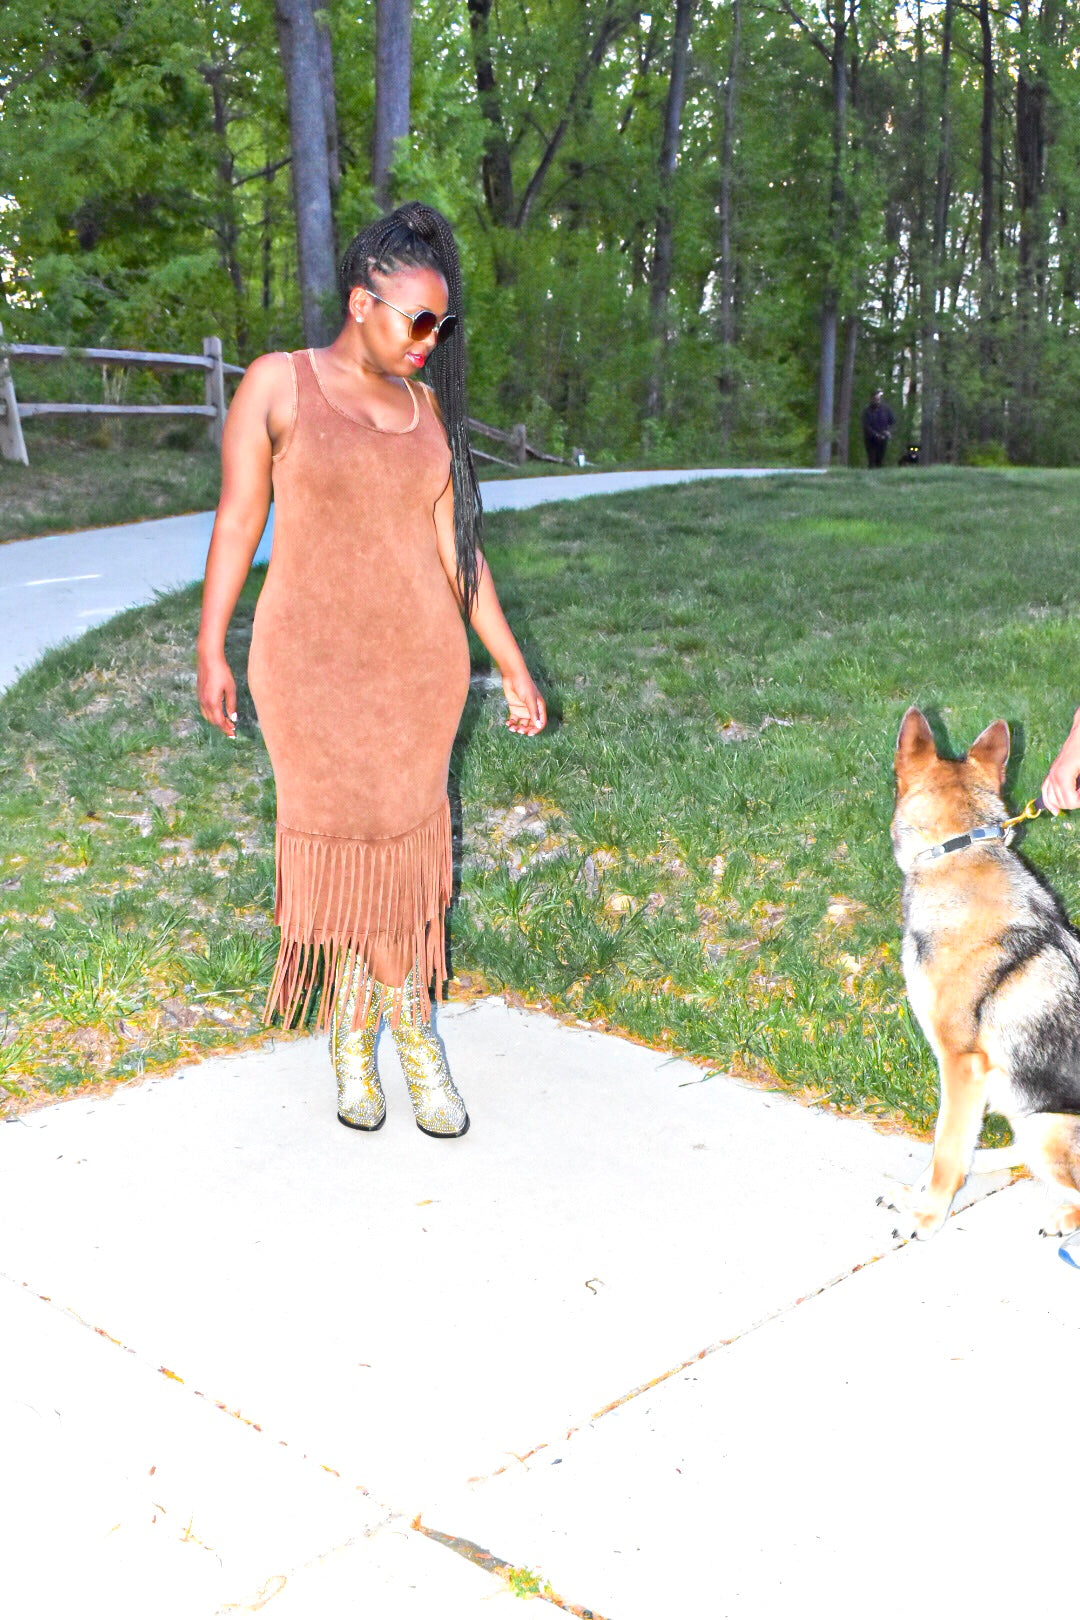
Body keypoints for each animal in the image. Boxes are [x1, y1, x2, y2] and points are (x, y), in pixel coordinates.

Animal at [880, 709, 1080, 1237]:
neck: (958, 851)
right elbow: (945, 1145)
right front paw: (920, 1193)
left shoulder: (961, 1065)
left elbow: (948, 1149)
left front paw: (927, 1216)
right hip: (1024, 1109)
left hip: (1045, 1123)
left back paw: (1061, 1217)